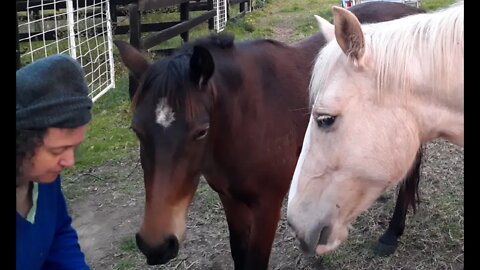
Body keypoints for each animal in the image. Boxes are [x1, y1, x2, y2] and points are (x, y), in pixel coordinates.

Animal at [115, 1, 424, 268]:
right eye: (137, 130)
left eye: (201, 131)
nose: (156, 245)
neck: (246, 118)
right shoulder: (230, 199)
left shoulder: (267, 206)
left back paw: (391, 234)